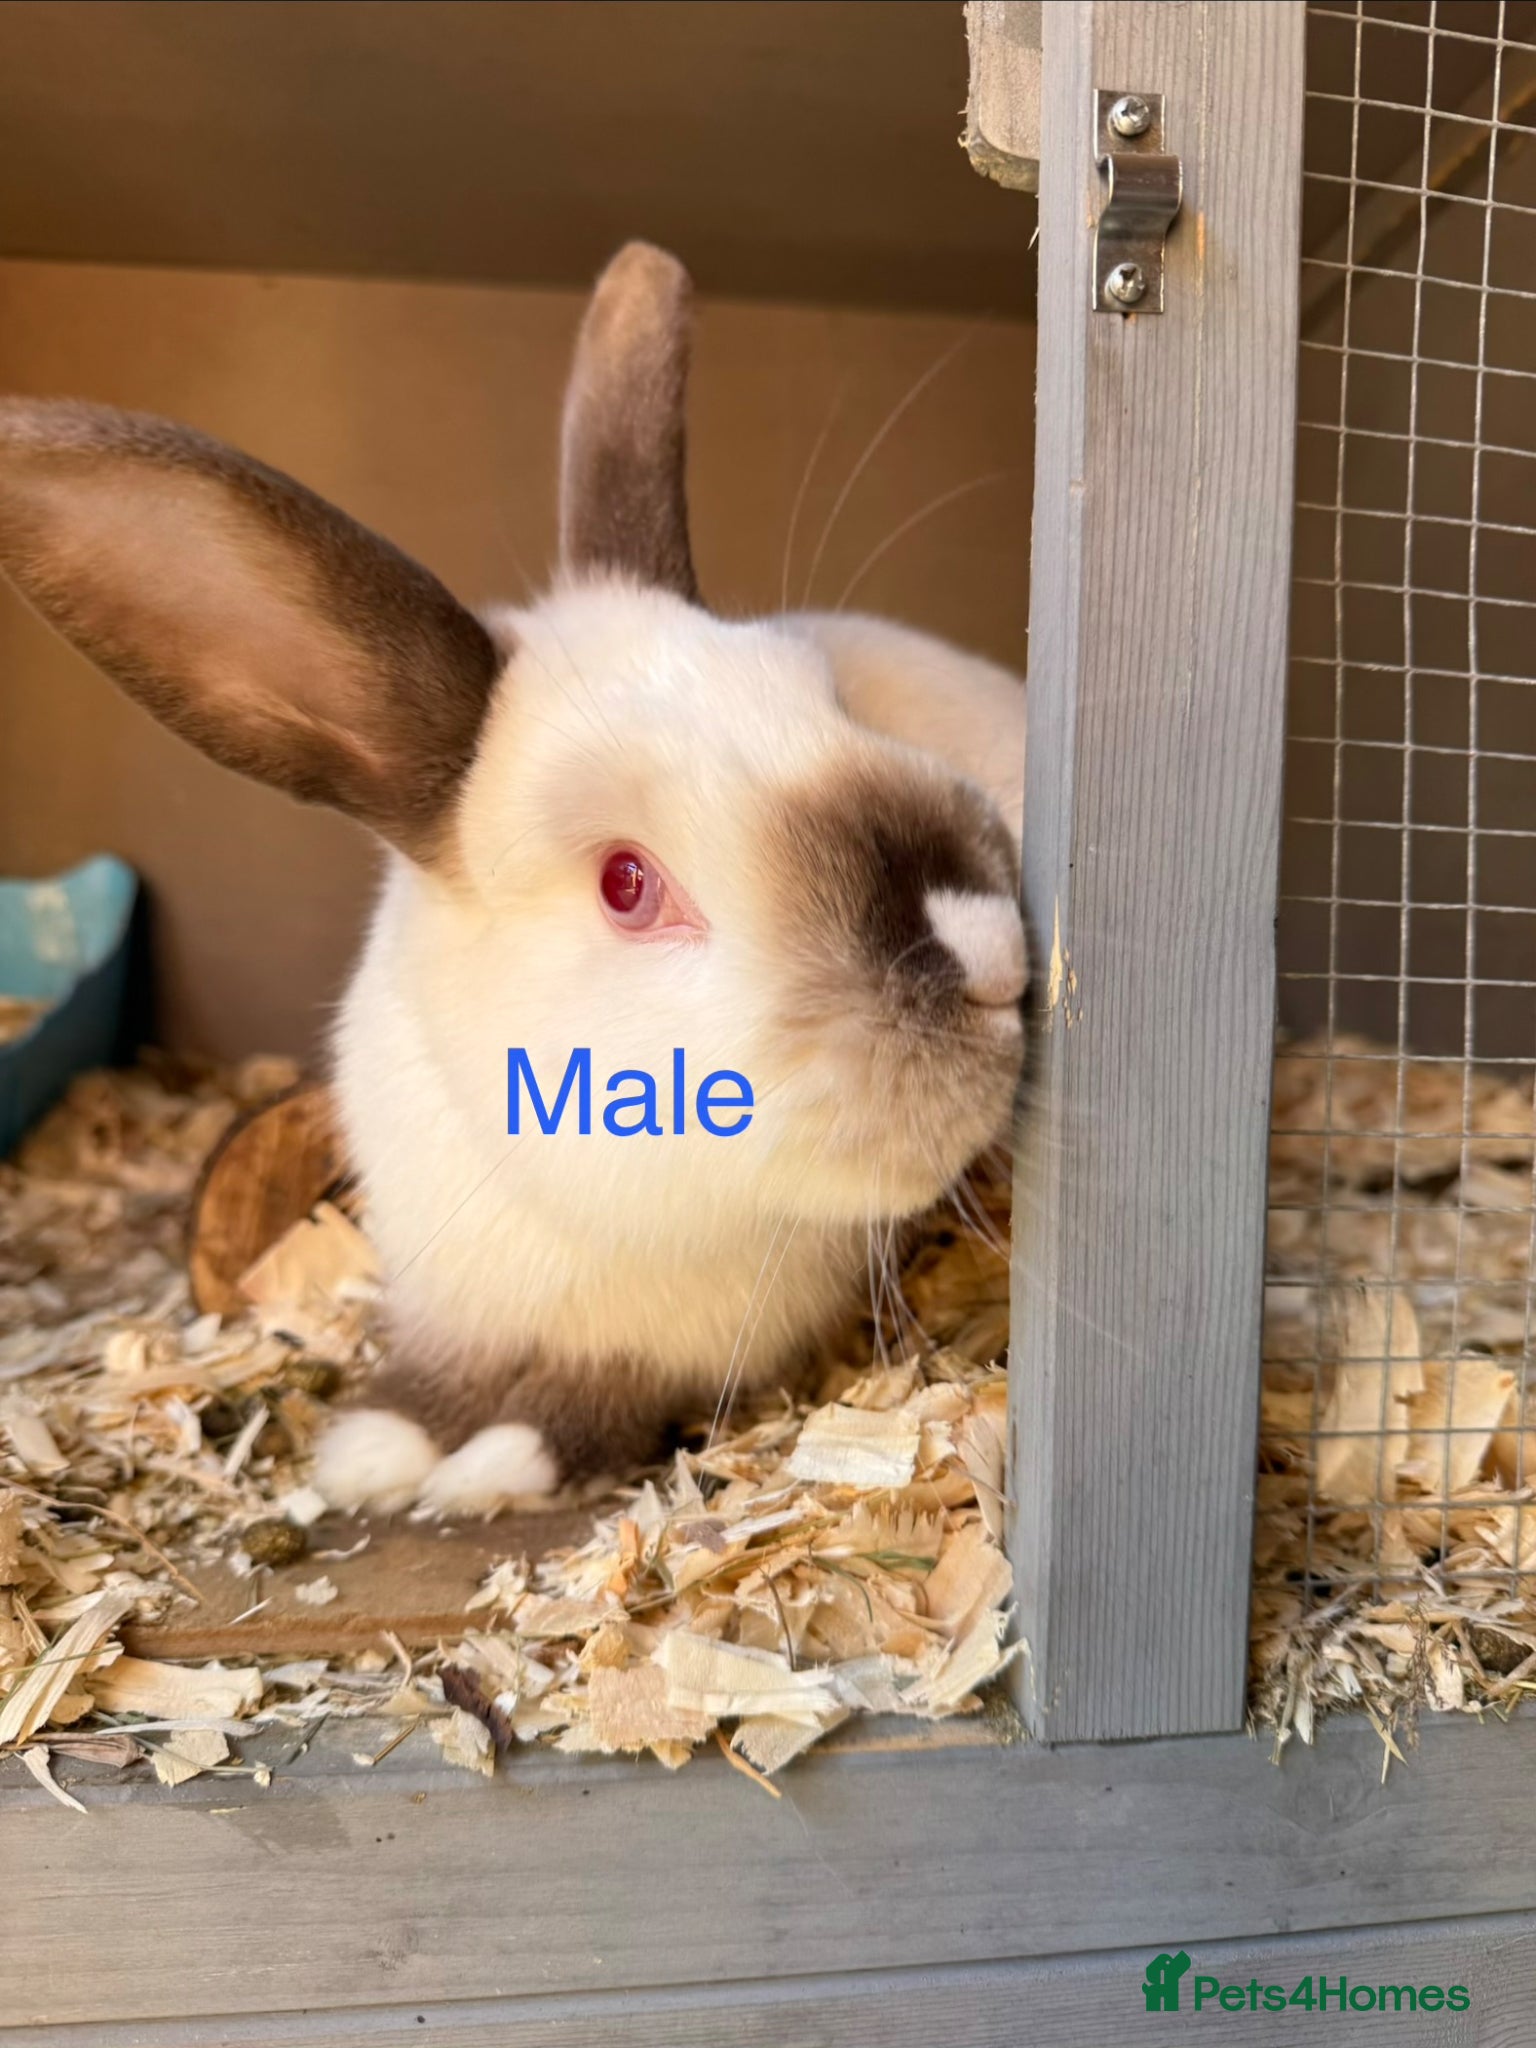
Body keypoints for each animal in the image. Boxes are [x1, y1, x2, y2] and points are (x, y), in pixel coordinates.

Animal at [0, 241, 1028, 1515]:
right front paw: (381, 1439)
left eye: (832, 701)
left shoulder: (693, 1340)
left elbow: (600, 1398)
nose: (996, 952)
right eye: (626, 883)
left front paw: (488, 1457)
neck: (572, 1210)